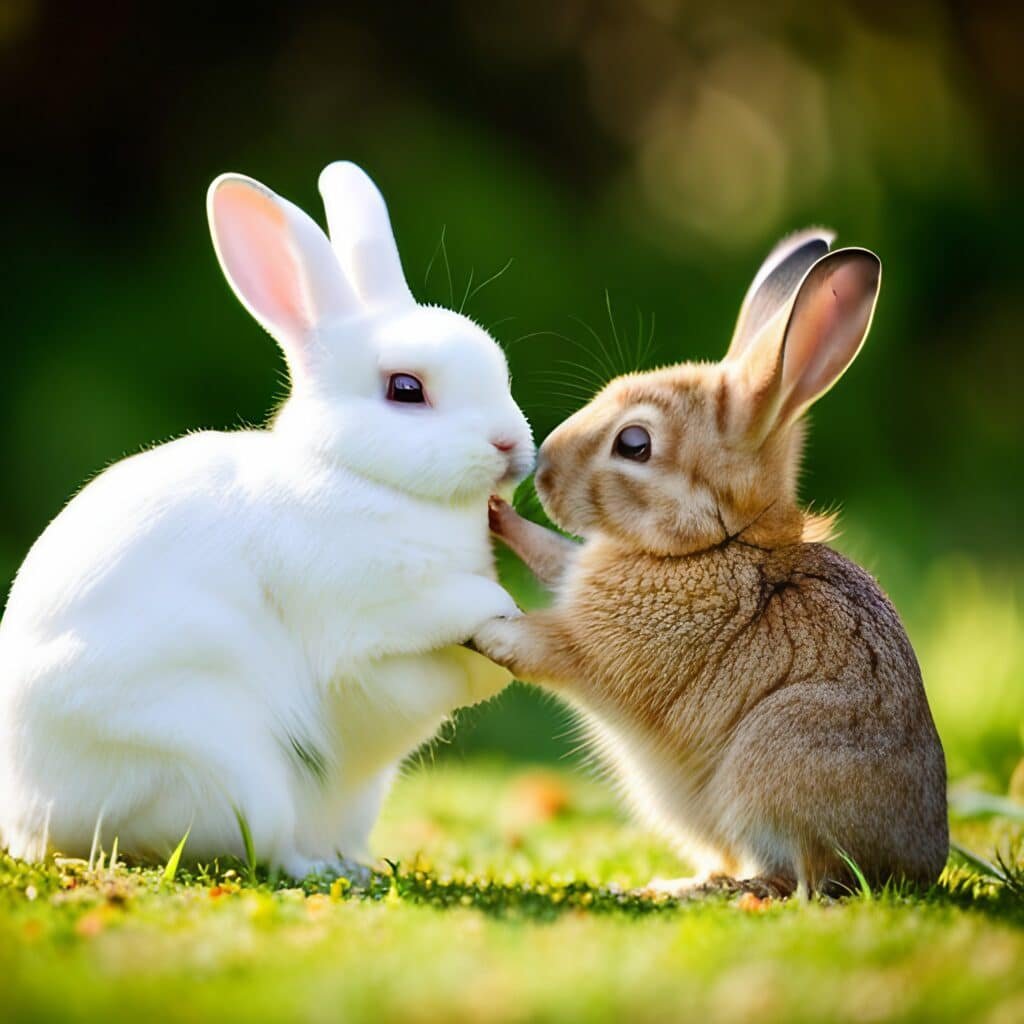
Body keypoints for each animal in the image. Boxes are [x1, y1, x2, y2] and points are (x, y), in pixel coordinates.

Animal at [0, 161, 534, 879]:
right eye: (406, 390)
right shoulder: (360, 632)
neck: (357, 474)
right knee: (262, 848)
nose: (510, 444)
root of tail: (34, 821)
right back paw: (321, 871)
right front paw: (493, 609)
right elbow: (416, 655)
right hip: (228, 777)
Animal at [473, 231, 948, 896]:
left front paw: (487, 633)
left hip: (773, 766)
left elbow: (548, 647)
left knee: (797, 877)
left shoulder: (606, 647)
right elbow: (555, 557)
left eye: (635, 444)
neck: (718, 544)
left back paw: (690, 888)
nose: (542, 476)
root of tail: (917, 866)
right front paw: (498, 515)